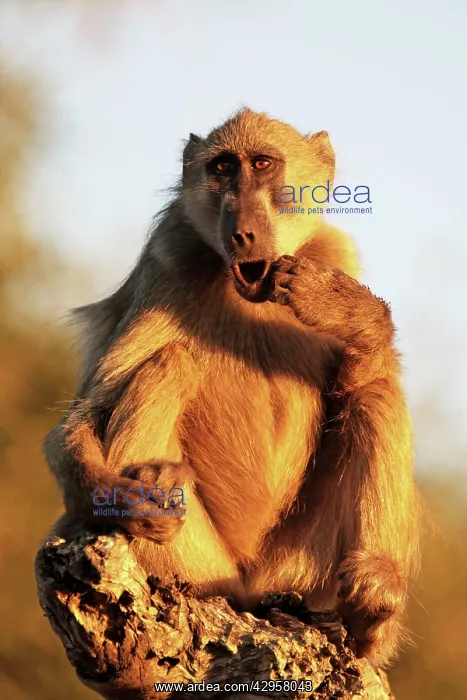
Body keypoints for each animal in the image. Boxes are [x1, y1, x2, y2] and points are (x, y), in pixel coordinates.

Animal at [44, 107, 421, 668]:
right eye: (222, 167)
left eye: (262, 164)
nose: (242, 233)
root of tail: (245, 588)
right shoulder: (169, 261)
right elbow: (82, 417)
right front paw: (126, 501)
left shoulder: (332, 256)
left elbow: (357, 384)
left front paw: (350, 313)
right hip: (202, 560)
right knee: (170, 362)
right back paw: (157, 490)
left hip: (299, 567)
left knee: (374, 394)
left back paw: (370, 612)